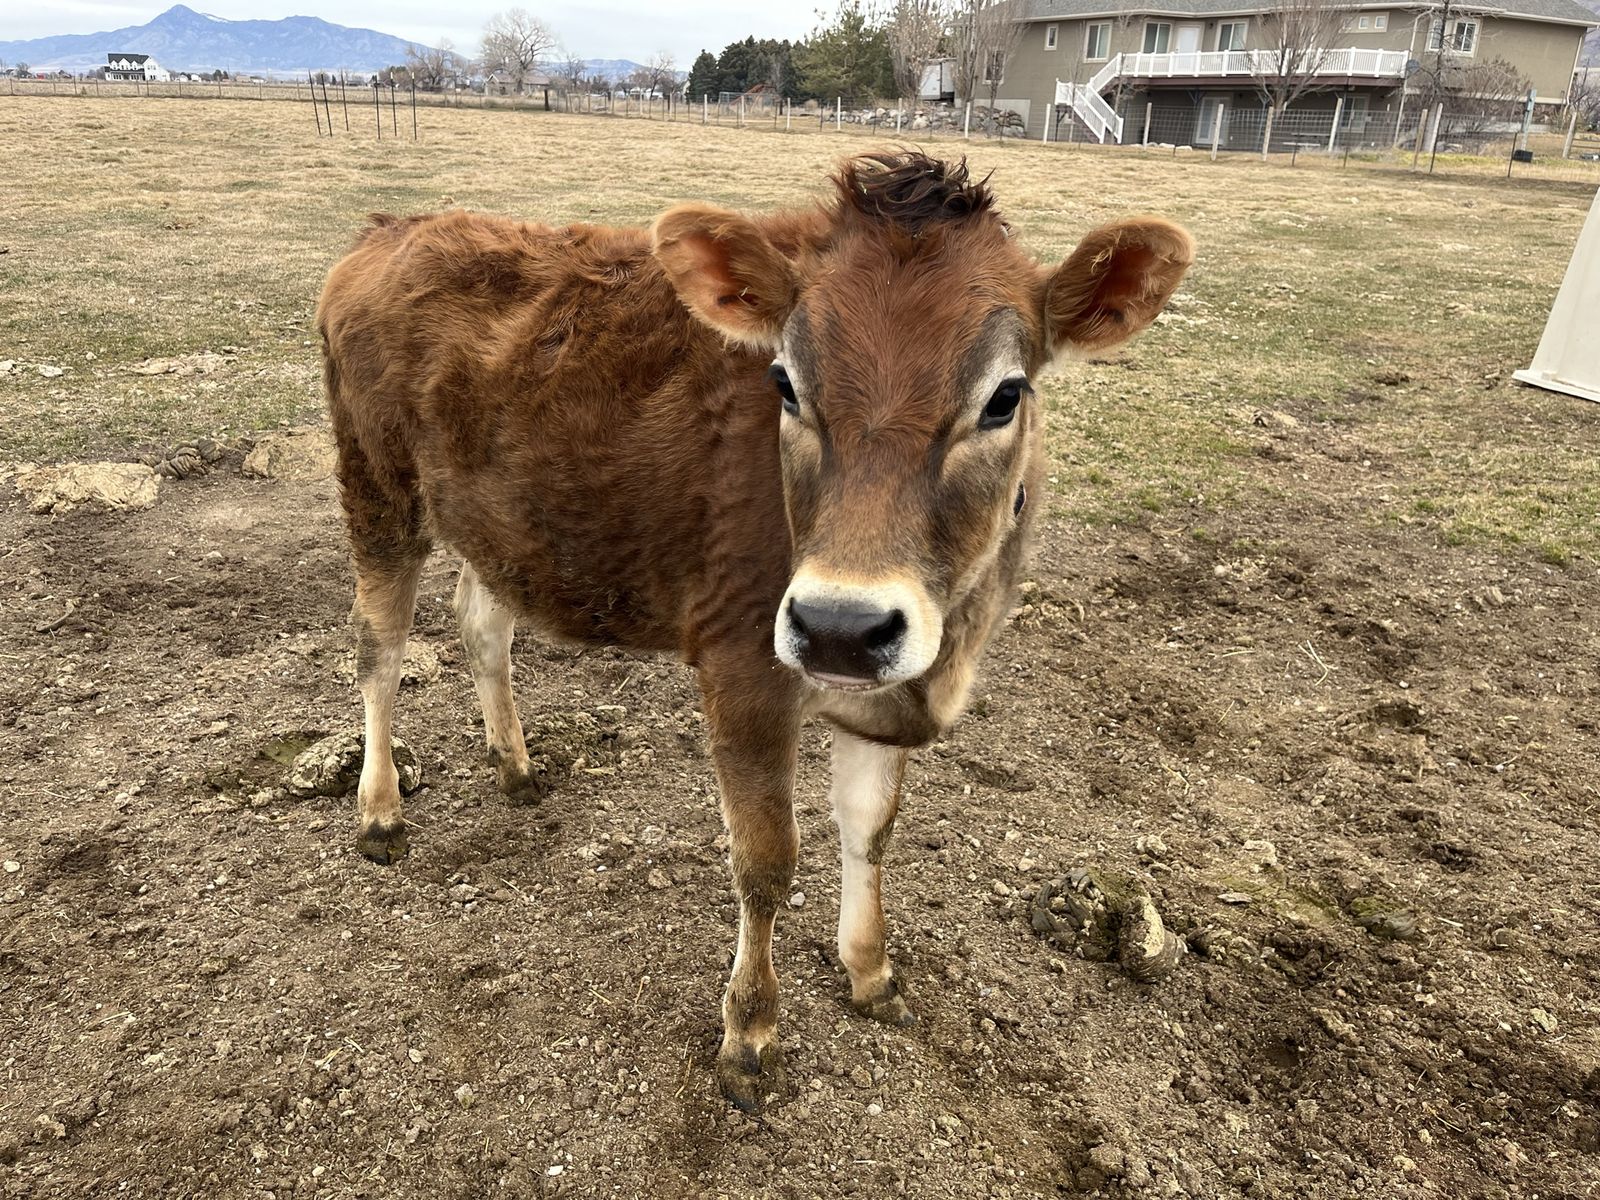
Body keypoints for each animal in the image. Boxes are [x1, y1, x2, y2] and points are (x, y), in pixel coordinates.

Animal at [316, 149, 1193, 1110]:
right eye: (784, 383)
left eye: (1005, 396)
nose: (841, 624)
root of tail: (389, 230)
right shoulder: (742, 668)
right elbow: (768, 861)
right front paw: (750, 1030)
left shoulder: (881, 687)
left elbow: (870, 829)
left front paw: (871, 971)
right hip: (377, 485)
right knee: (379, 648)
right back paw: (379, 810)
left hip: (500, 523)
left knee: (482, 624)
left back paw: (514, 765)